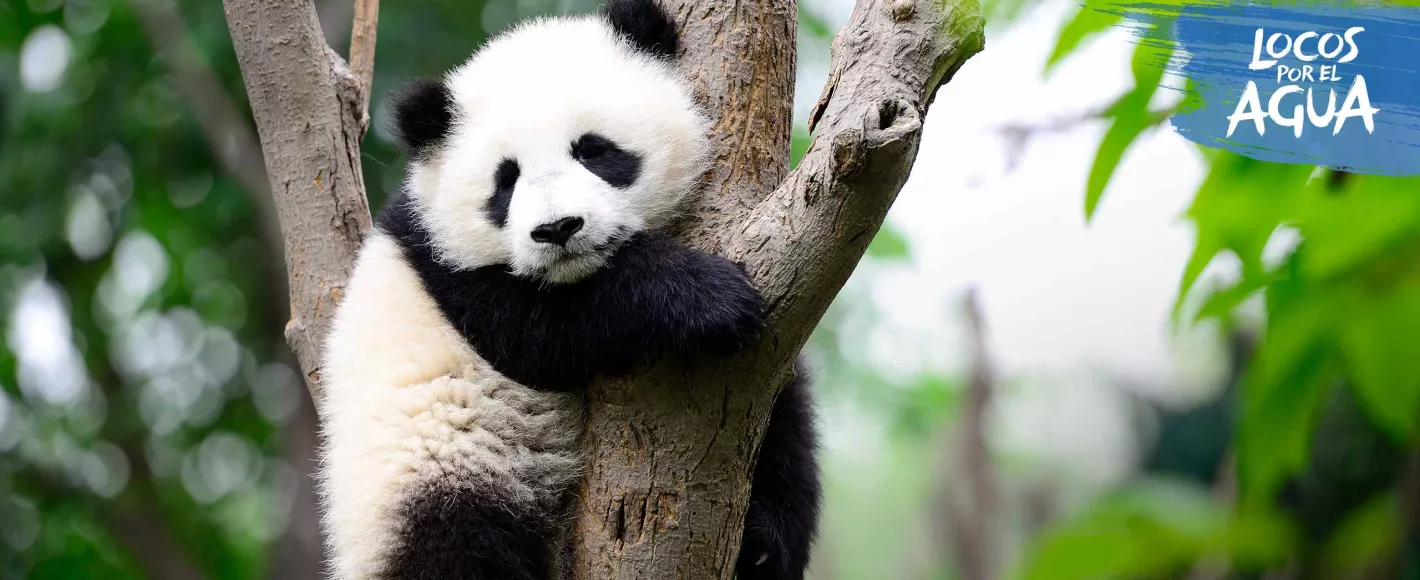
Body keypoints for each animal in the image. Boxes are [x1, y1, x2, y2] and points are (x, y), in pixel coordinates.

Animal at [316, 1, 821, 579]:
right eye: (506, 180)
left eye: (594, 151)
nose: (557, 229)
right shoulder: (447, 272)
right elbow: (543, 332)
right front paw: (709, 298)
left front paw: (766, 544)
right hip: (434, 472)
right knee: (456, 547)